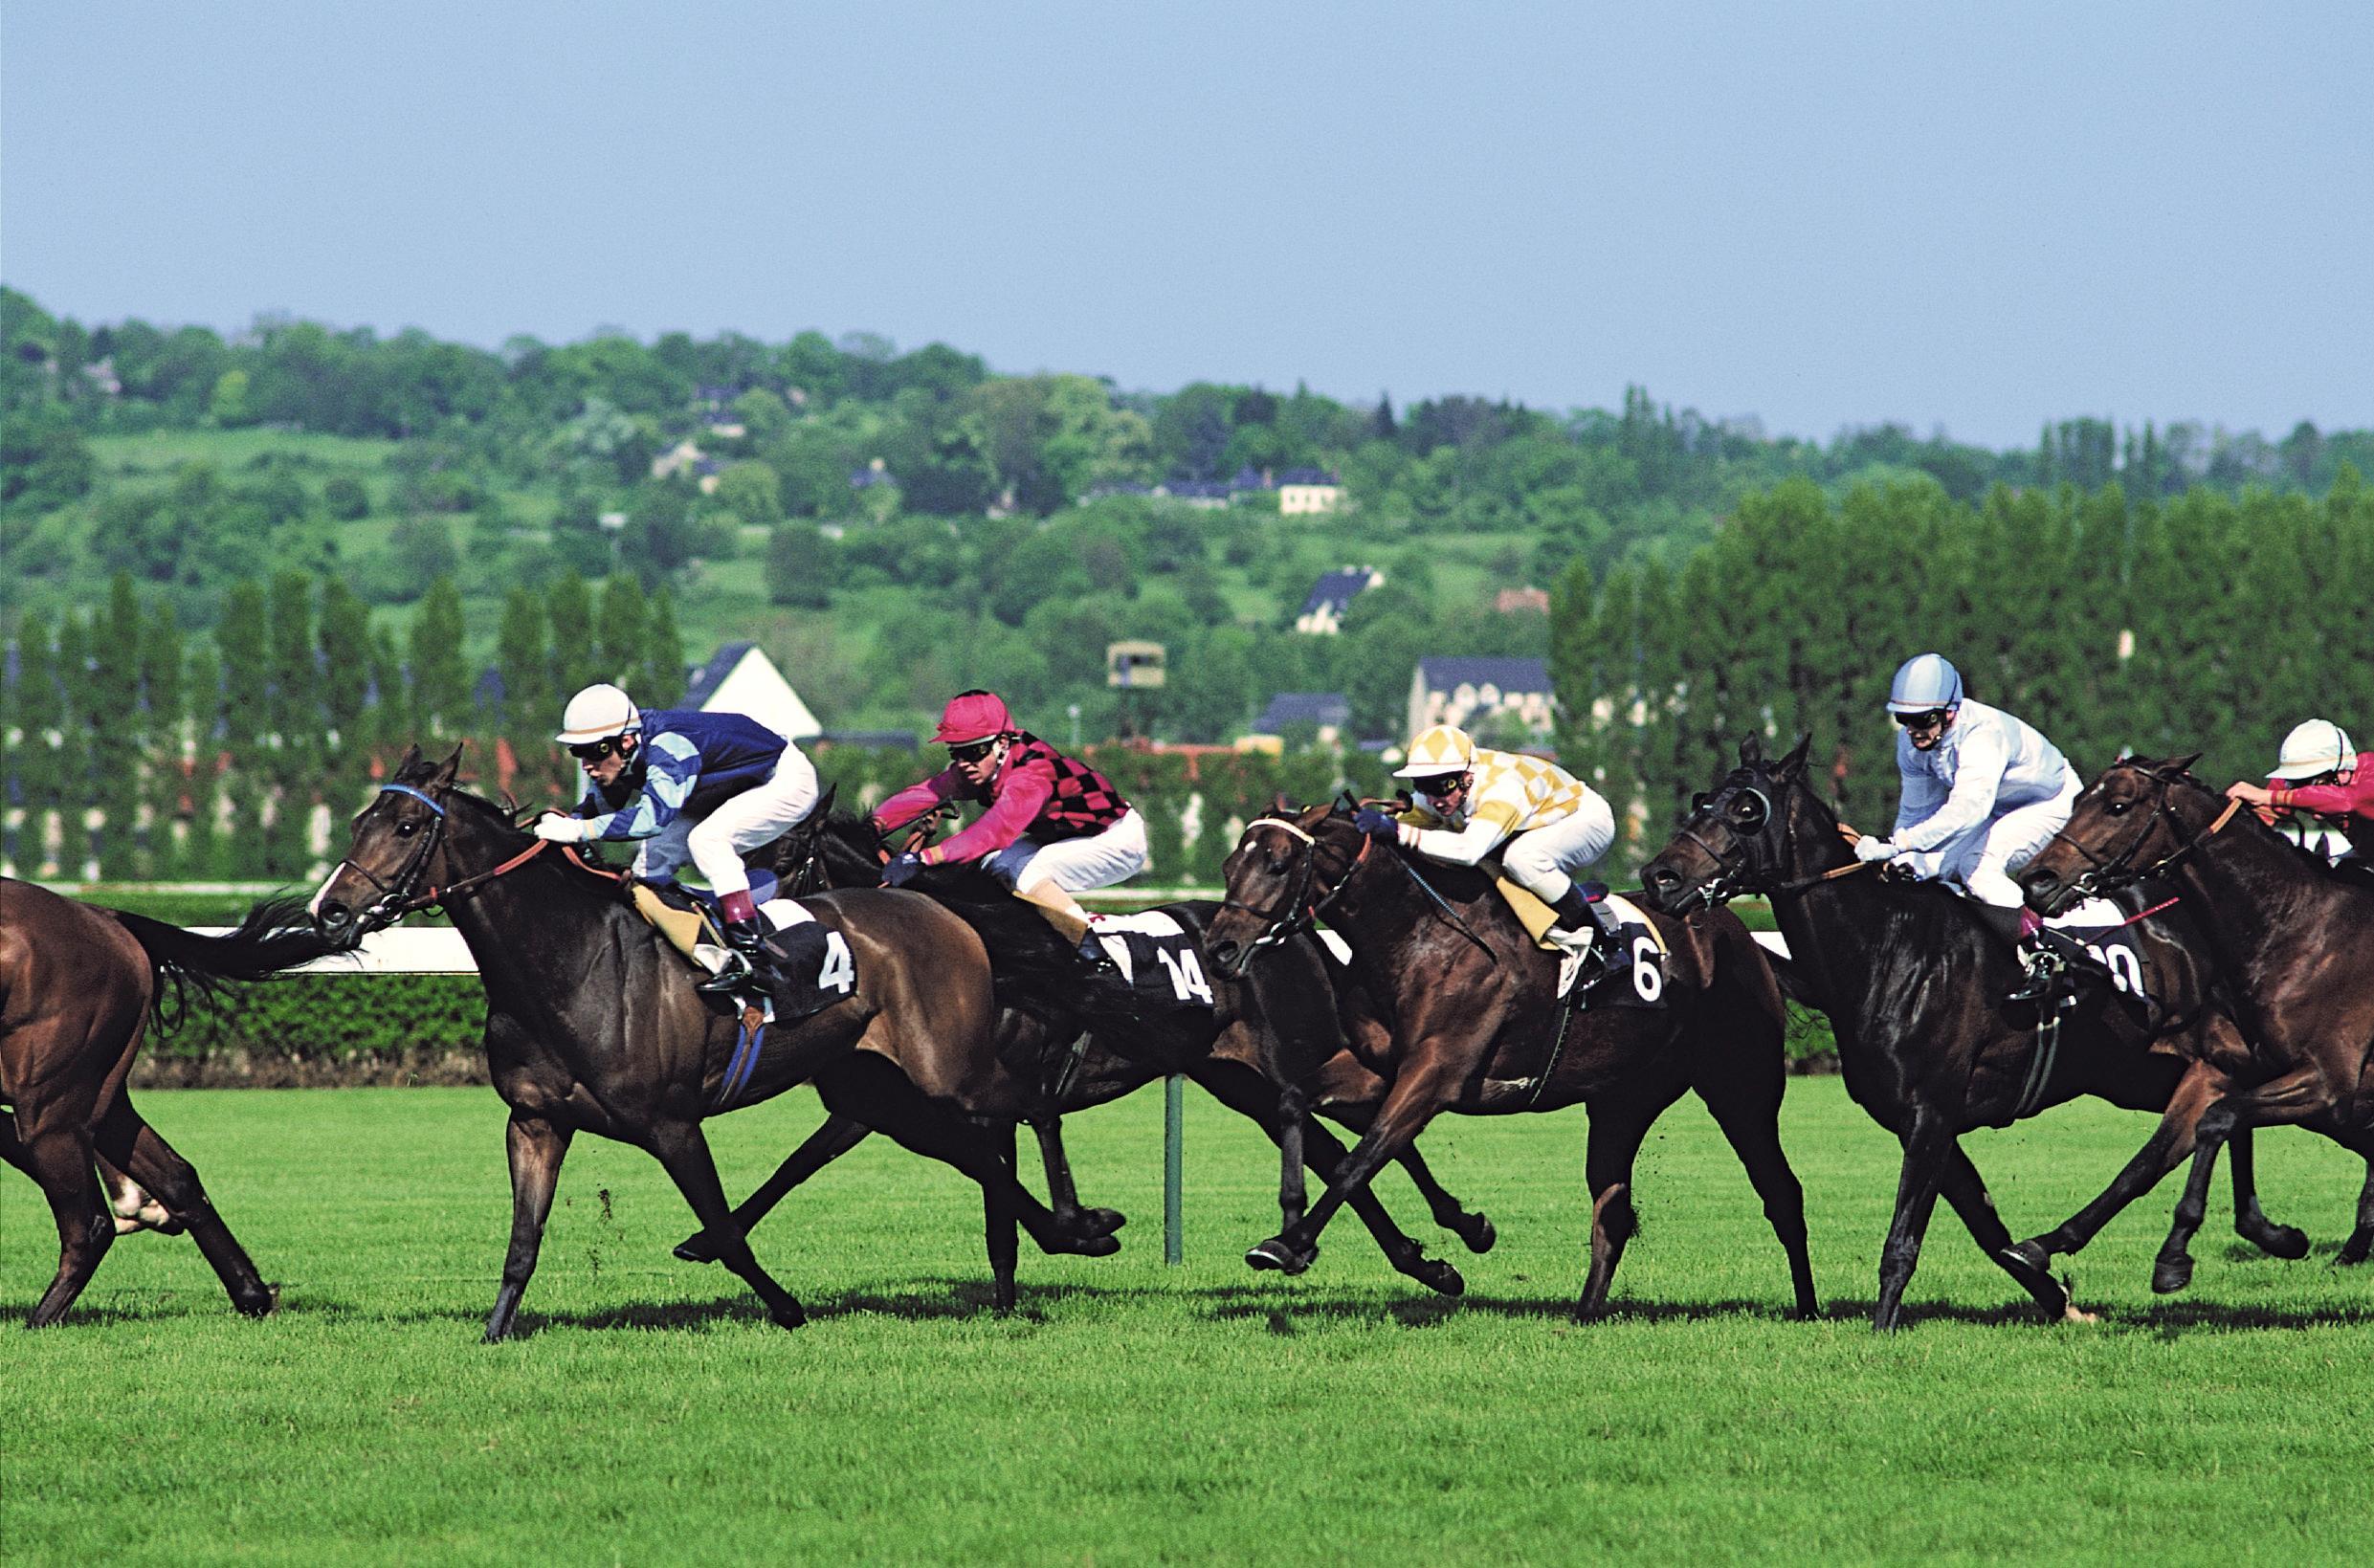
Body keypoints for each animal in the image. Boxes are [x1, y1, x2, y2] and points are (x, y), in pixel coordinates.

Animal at [2, 882, 334, 1318]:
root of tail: (105, 918)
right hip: (89, 1086)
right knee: (176, 1175)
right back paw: (252, 1294)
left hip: (49, 1093)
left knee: (89, 1223)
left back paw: (41, 1319)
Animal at [311, 744, 1116, 1337]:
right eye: (357, 821)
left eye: (406, 828)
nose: (330, 911)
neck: (568, 961)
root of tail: (937, 910)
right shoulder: (534, 1120)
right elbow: (522, 1241)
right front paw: (494, 1332)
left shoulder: (670, 1122)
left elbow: (725, 1229)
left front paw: (787, 1309)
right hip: (878, 1087)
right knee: (972, 1149)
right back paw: (1057, 1237)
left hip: (949, 1067)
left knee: (1024, 1108)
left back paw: (1080, 1225)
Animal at [1206, 802, 1813, 1318]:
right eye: (1230, 864)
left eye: (1279, 864)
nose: (1218, 949)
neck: (1416, 937)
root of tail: (1740, 936)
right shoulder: (1379, 1067)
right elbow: (1297, 1104)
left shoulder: (1437, 1073)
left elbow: (1367, 1153)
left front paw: (1291, 1244)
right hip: (1623, 1100)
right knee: (1612, 1210)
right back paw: (1584, 1314)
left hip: (1741, 1088)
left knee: (1781, 1192)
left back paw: (1807, 1309)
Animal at [2022, 754, 2374, 1280]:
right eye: (2079, 799)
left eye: (2118, 805)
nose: (2035, 880)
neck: (2296, 929)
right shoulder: (2222, 1068)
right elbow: (2149, 1159)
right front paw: (2046, 1243)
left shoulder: (2329, 1082)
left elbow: (2217, 1121)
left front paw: (2174, 1253)